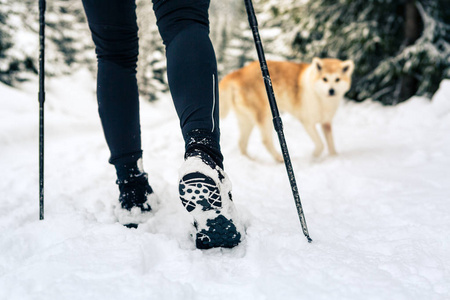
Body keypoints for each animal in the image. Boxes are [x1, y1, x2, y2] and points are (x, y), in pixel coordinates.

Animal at [220, 58, 354, 162]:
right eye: (324, 79)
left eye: (337, 79)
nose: (331, 91)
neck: (320, 97)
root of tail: (238, 72)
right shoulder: (308, 123)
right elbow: (320, 144)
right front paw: (313, 156)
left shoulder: (326, 123)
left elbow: (331, 144)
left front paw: (334, 157)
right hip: (266, 116)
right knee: (266, 140)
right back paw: (279, 158)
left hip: (246, 120)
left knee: (241, 142)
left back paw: (249, 160)